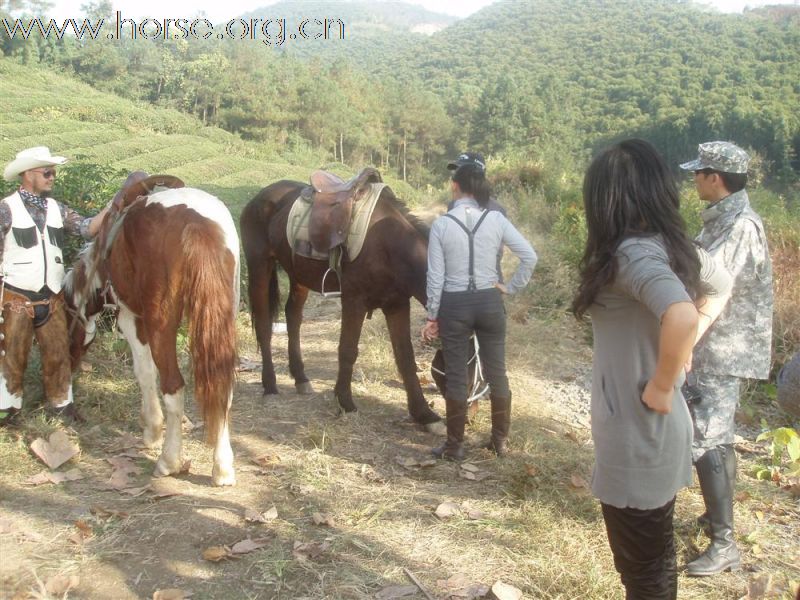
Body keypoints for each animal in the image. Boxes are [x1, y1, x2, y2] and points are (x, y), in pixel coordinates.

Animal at [63, 180, 239, 486]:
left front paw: (152, 431)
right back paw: (222, 468)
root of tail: (196, 222)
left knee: (173, 386)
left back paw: (168, 461)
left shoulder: (130, 317)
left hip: (161, 324)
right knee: (222, 387)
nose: (70, 365)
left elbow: (144, 373)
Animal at [241, 170, 444, 432]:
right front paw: (345, 402)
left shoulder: (397, 304)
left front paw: (425, 414)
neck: (387, 242)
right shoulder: (354, 302)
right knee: (265, 326)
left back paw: (301, 378)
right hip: (259, 266)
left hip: (299, 276)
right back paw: (270, 386)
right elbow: (347, 350)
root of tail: (259, 197)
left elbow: (405, 357)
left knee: (293, 318)